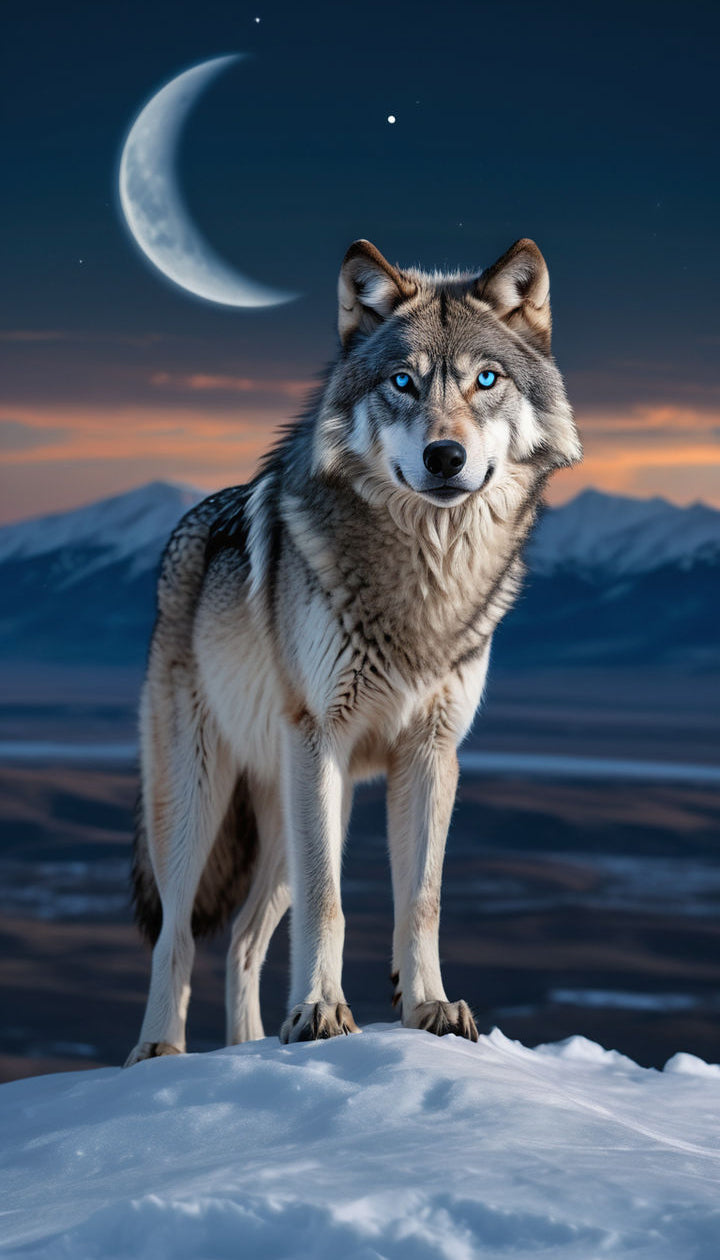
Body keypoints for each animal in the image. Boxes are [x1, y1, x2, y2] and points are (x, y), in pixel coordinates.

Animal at [125, 237, 581, 1064]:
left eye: (486, 380)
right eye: (403, 381)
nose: (444, 456)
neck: (425, 581)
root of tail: (183, 532)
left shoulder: (432, 751)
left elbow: (421, 900)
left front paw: (428, 1006)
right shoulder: (321, 739)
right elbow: (329, 902)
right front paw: (319, 1013)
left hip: (298, 810)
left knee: (244, 938)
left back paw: (247, 1047)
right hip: (206, 797)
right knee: (176, 930)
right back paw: (158, 1053)